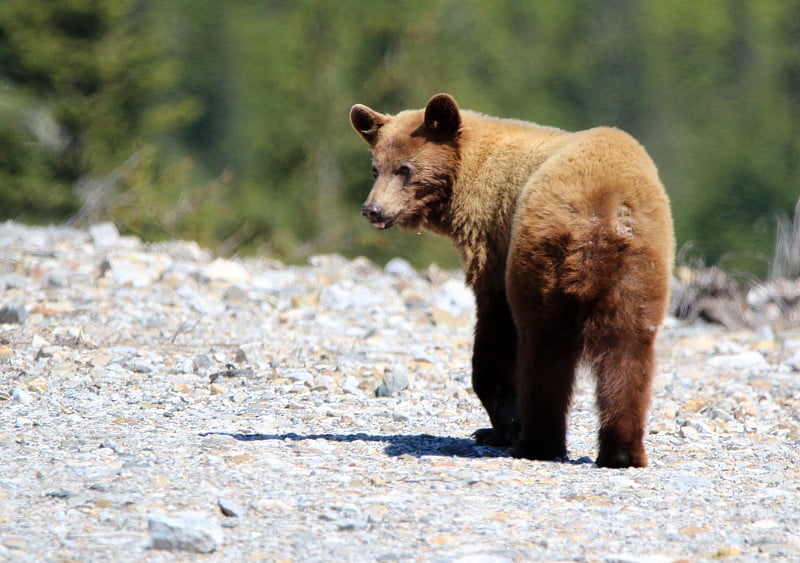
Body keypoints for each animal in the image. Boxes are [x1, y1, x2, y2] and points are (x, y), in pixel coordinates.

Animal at [350, 94, 676, 470]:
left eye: (405, 169)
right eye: (376, 168)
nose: (373, 210)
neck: (466, 179)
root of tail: (603, 209)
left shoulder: (494, 240)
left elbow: (495, 327)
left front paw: (497, 427)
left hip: (542, 254)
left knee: (543, 345)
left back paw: (536, 443)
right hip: (640, 268)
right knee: (629, 350)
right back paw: (622, 452)